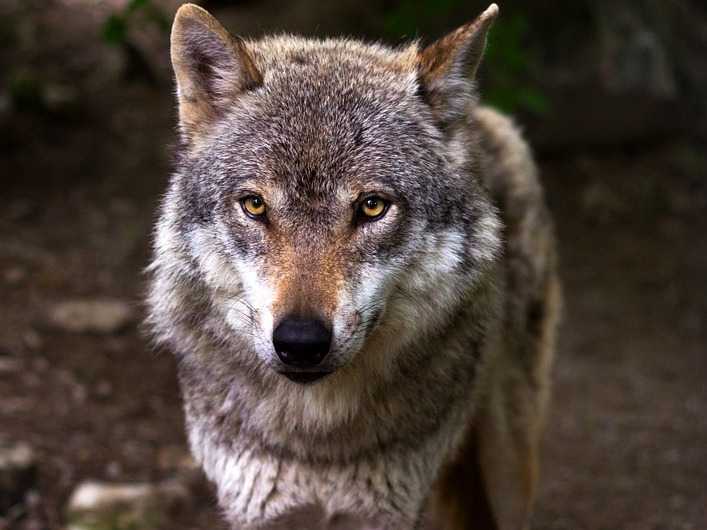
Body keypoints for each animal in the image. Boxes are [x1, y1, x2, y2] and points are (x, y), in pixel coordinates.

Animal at [147, 4, 560, 528]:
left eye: (371, 207)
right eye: (255, 205)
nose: (300, 342)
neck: (319, 442)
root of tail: (480, 115)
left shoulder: (390, 511)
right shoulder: (255, 508)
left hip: (509, 464)